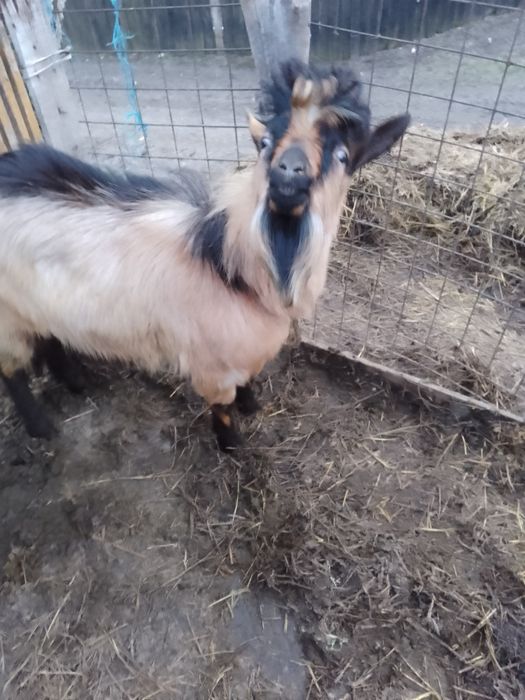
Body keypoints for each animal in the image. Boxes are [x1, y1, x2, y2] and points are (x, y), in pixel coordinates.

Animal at [0, 60, 409, 450]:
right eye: (265, 143)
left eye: (342, 155)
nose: (289, 172)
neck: (230, 265)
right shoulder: (211, 364)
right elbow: (221, 405)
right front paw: (233, 445)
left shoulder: (242, 353)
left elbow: (247, 383)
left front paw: (252, 406)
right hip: (8, 319)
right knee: (12, 371)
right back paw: (41, 427)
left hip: (38, 307)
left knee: (50, 340)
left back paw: (77, 382)